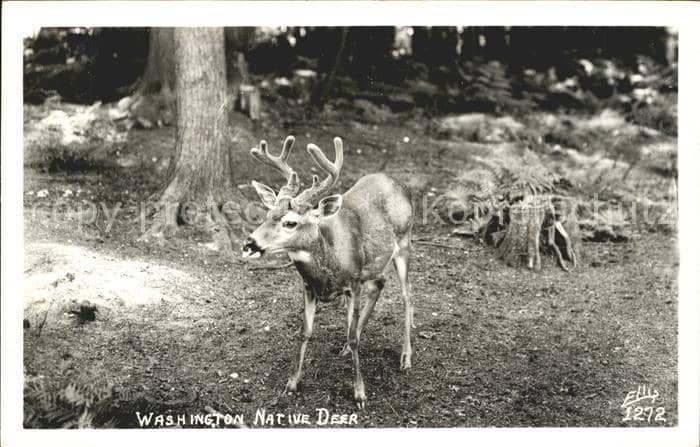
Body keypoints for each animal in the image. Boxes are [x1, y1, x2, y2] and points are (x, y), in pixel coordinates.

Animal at [242, 135, 414, 409]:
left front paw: (360, 393)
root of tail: (399, 183)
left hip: (404, 241)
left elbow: (353, 337)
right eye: (267, 214)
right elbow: (305, 332)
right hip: (374, 263)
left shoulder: (352, 283)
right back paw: (346, 347)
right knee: (380, 283)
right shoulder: (309, 287)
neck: (326, 269)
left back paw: (406, 358)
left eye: (290, 222)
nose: (250, 243)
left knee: (408, 295)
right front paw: (292, 383)